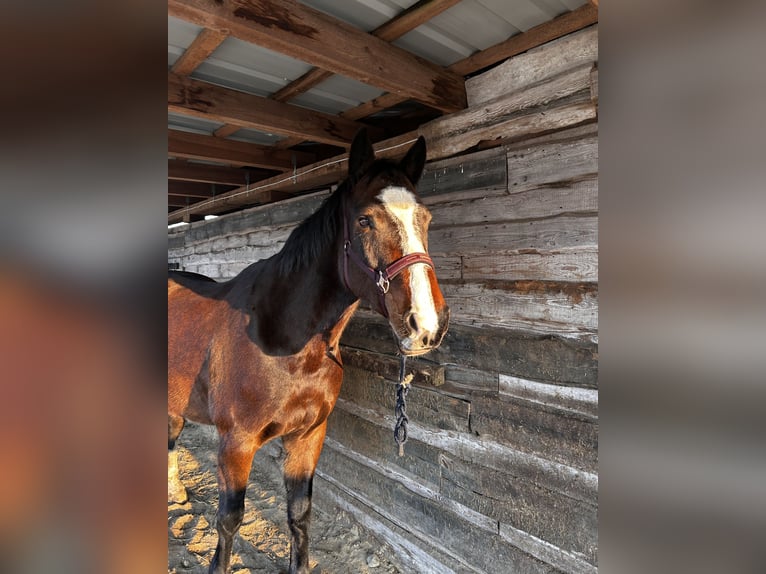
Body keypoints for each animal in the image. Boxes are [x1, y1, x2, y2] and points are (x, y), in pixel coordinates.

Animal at [168, 129, 450, 574]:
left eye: (426, 219)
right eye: (365, 220)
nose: (427, 325)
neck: (284, 342)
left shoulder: (308, 436)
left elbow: (299, 513)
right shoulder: (235, 444)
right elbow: (229, 519)